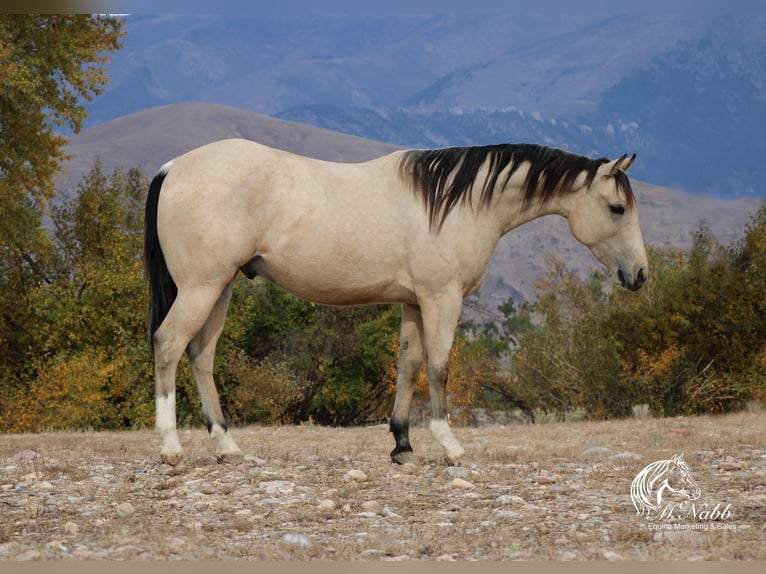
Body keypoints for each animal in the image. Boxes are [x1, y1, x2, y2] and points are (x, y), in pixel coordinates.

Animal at [144, 140, 648, 468]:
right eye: (617, 208)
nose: (640, 275)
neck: (456, 203)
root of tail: (172, 167)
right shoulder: (441, 298)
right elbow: (440, 367)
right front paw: (449, 444)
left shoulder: (413, 303)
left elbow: (409, 365)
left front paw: (402, 444)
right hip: (202, 286)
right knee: (168, 345)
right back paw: (170, 447)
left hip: (221, 286)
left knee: (201, 355)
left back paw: (227, 447)